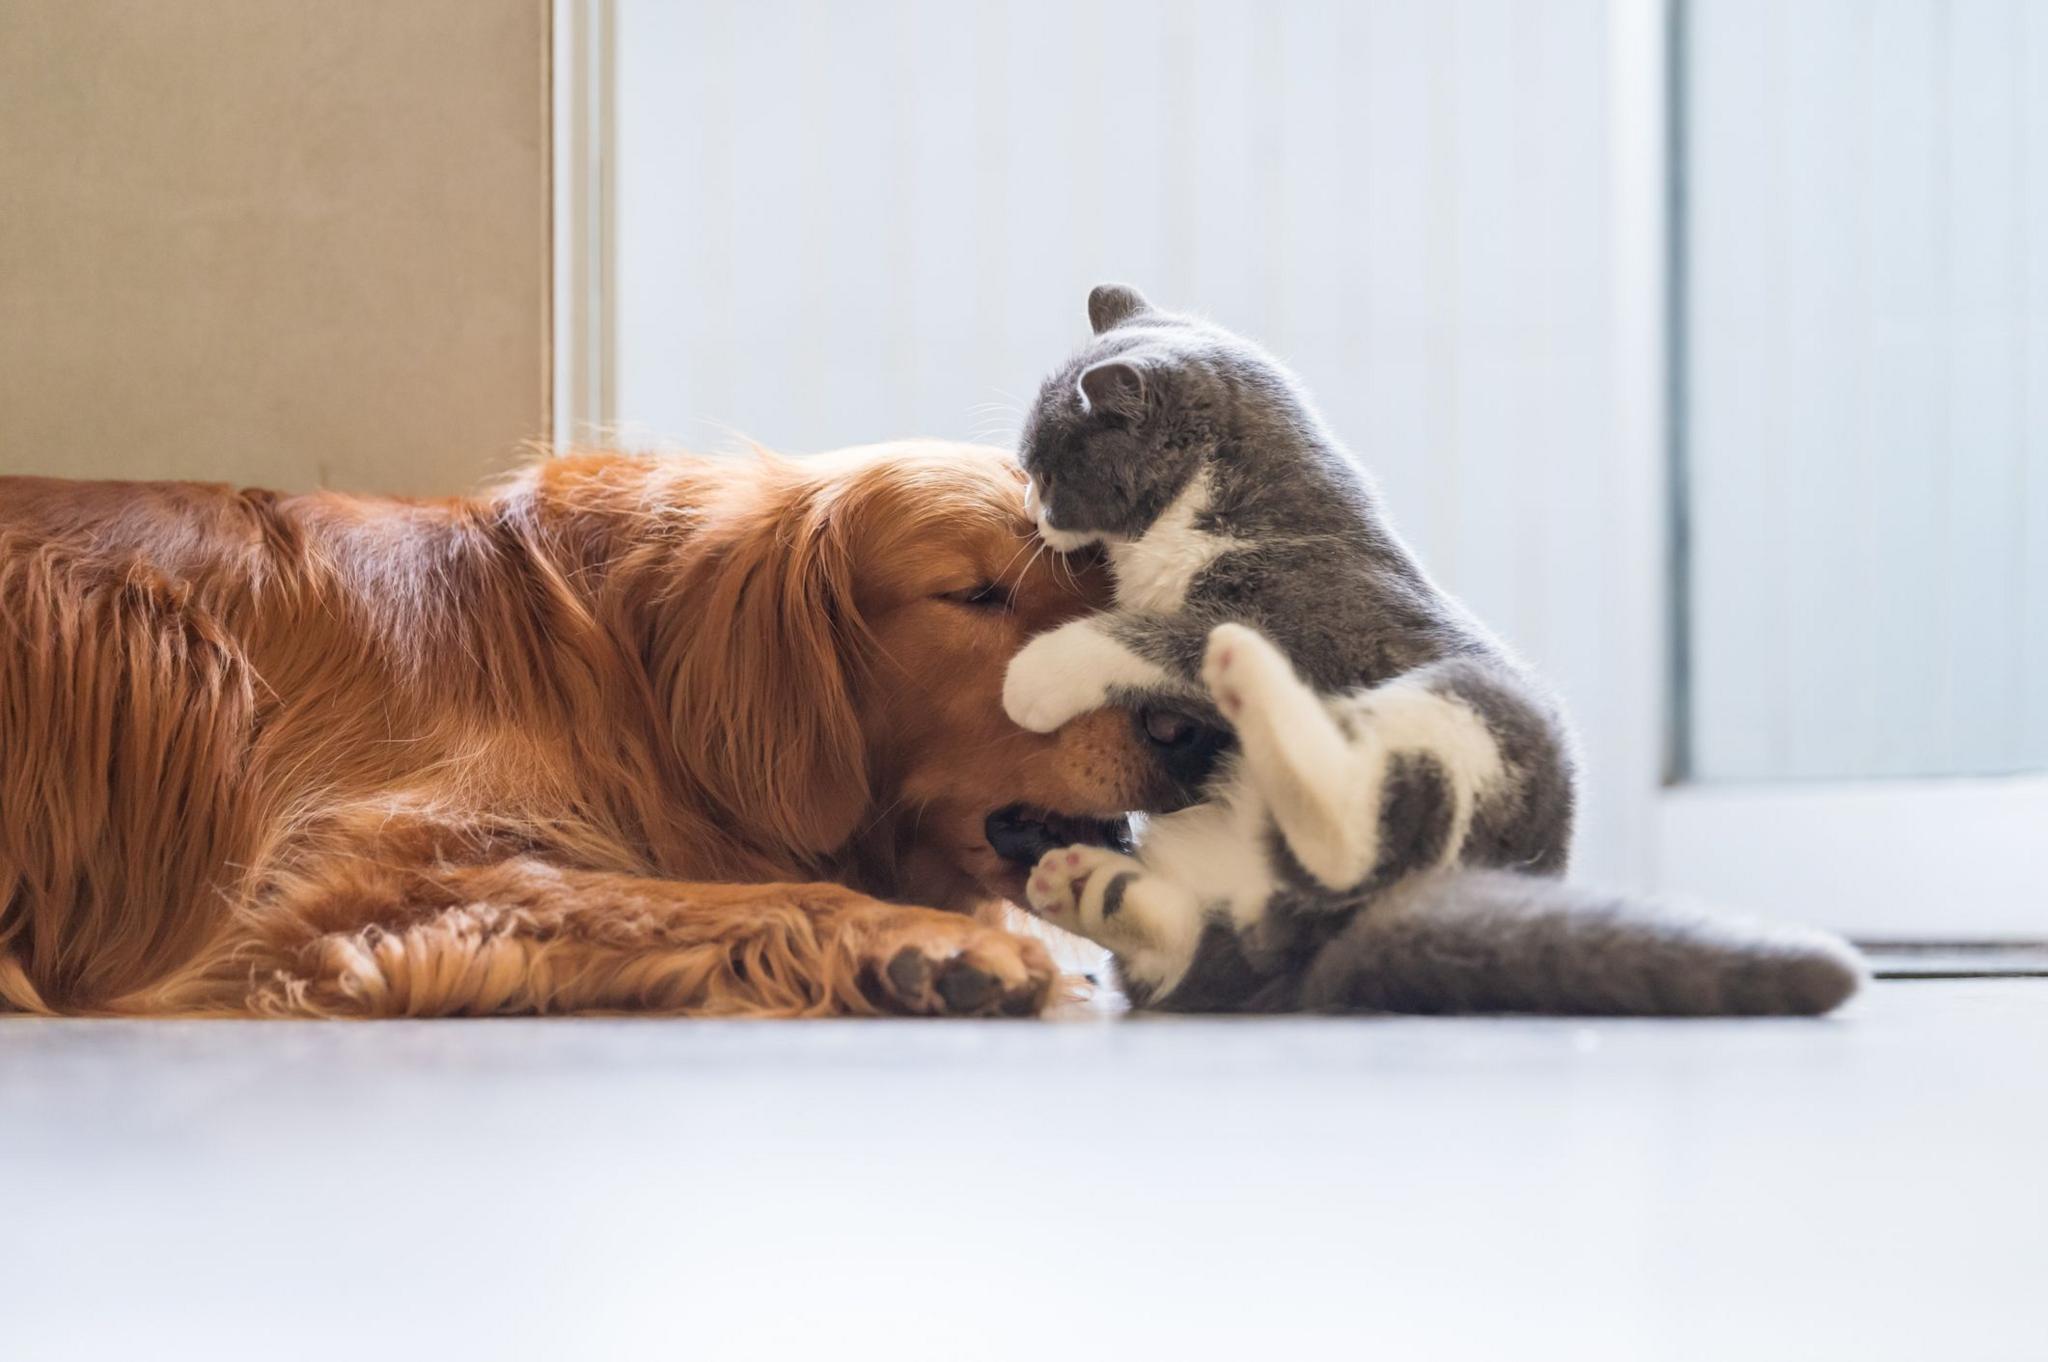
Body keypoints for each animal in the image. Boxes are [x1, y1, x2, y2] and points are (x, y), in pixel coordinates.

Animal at [4, 440, 1212, 1015]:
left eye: (1111, 584)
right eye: (975, 596)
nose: (1196, 728)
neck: (616, 681)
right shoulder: (359, 871)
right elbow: (688, 892)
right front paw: (922, 945)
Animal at [999, 284, 1867, 1007]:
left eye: (1048, 469)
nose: (1033, 509)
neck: (1217, 515)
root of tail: (1333, 939)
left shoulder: (1318, 623)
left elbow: (1158, 635)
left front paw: (1034, 678)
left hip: (1479, 711)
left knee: (1358, 831)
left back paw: (1245, 679)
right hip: (1222, 920)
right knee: (1187, 940)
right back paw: (1072, 878)